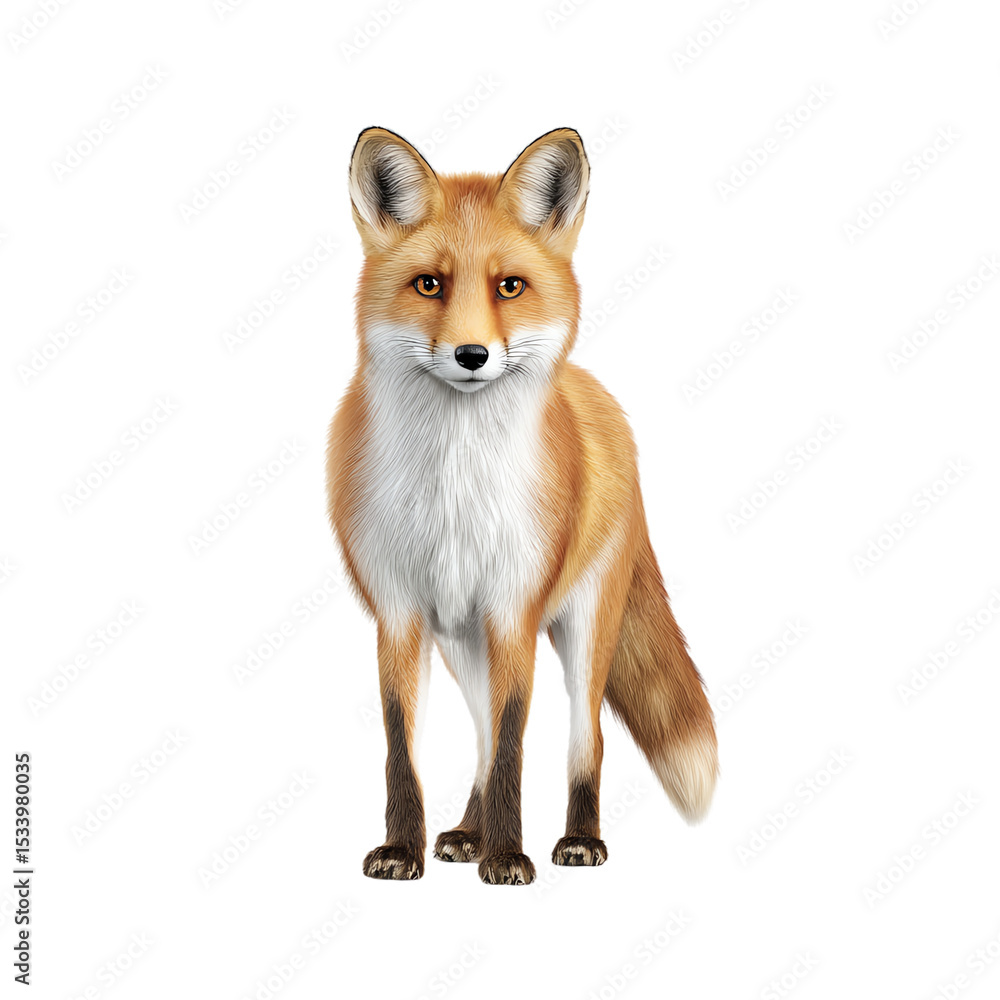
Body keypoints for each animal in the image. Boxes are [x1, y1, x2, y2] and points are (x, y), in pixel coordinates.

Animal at [326, 126, 718, 886]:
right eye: (430, 284)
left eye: (509, 286)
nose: (472, 354)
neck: (454, 486)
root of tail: (595, 393)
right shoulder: (400, 611)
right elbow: (403, 749)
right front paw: (404, 850)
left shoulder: (514, 608)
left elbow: (514, 745)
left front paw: (509, 857)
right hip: (462, 643)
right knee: (479, 739)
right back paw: (466, 833)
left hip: (582, 628)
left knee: (585, 739)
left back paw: (577, 840)